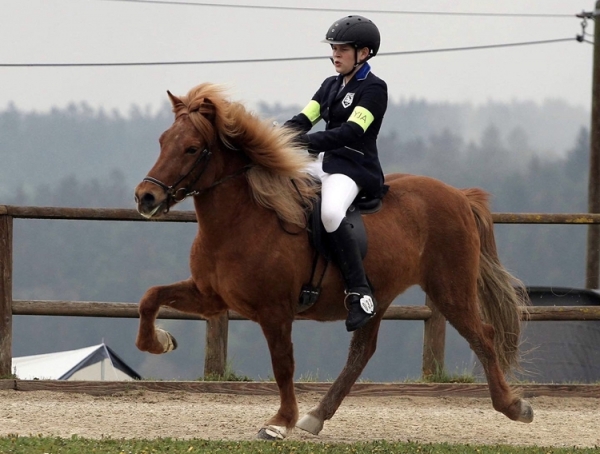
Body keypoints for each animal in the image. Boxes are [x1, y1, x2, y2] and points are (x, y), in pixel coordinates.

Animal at [134, 82, 532, 440]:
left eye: (191, 148)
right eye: (162, 141)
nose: (145, 197)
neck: (242, 221)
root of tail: (460, 196)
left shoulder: (275, 310)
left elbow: (283, 365)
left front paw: (280, 422)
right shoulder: (211, 297)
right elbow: (150, 297)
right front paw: (159, 342)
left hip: (450, 289)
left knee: (483, 337)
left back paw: (514, 407)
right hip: (379, 297)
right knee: (362, 352)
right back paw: (316, 416)